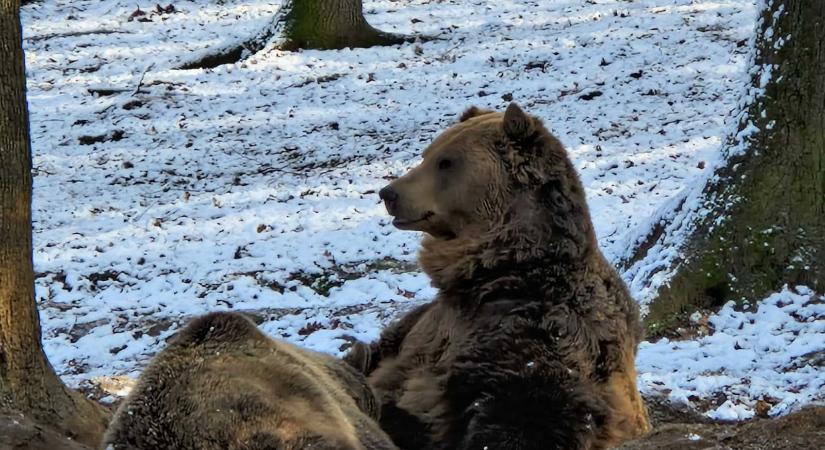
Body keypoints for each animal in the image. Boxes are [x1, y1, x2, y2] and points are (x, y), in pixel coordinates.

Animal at [360, 103, 652, 450]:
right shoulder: (434, 325)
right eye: (427, 154)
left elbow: (521, 416)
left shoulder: (539, 330)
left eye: (446, 162)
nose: (388, 193)